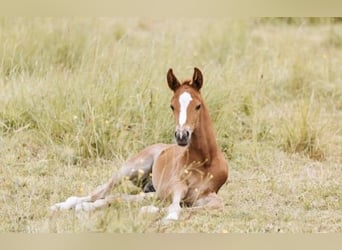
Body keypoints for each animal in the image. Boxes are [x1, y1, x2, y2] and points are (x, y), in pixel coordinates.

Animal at [52, 67, 228, 222]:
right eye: (172, 106)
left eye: (198, 106)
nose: (181, 136)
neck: (204, 161)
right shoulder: (175, 186)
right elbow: (174, 206)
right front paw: (166, 217)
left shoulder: (206, 194)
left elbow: (216, 205)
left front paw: (152, 211)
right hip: (131, 168)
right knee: (100, 192)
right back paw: (63, 205)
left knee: (115, 197)